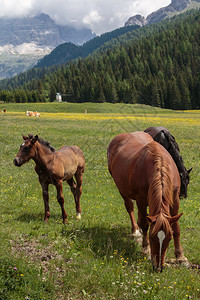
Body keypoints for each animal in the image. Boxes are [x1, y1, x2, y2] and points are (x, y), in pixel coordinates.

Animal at [107, 132, 188, 272]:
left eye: (169, 238)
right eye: (151, 237)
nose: (158, 268)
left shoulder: (175, 199)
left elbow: (176, 227)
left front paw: (180, 256)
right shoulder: (141, 199)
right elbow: (145, 224)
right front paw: (146, 249)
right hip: (122, 189)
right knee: (130, 207)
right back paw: (135, 231)